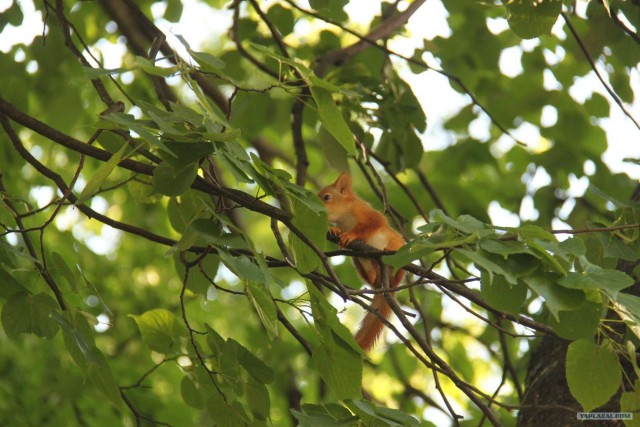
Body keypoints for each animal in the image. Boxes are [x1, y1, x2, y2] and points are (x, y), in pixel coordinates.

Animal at [318, 173, 404, 352]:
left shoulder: (369, 215)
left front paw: (351, 235)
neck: (345, 216)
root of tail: (387, 283)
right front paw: (333, 229)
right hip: (361, 262)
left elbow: (367, 226)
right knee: (369, 274)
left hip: (397, 247)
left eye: (327, 197)